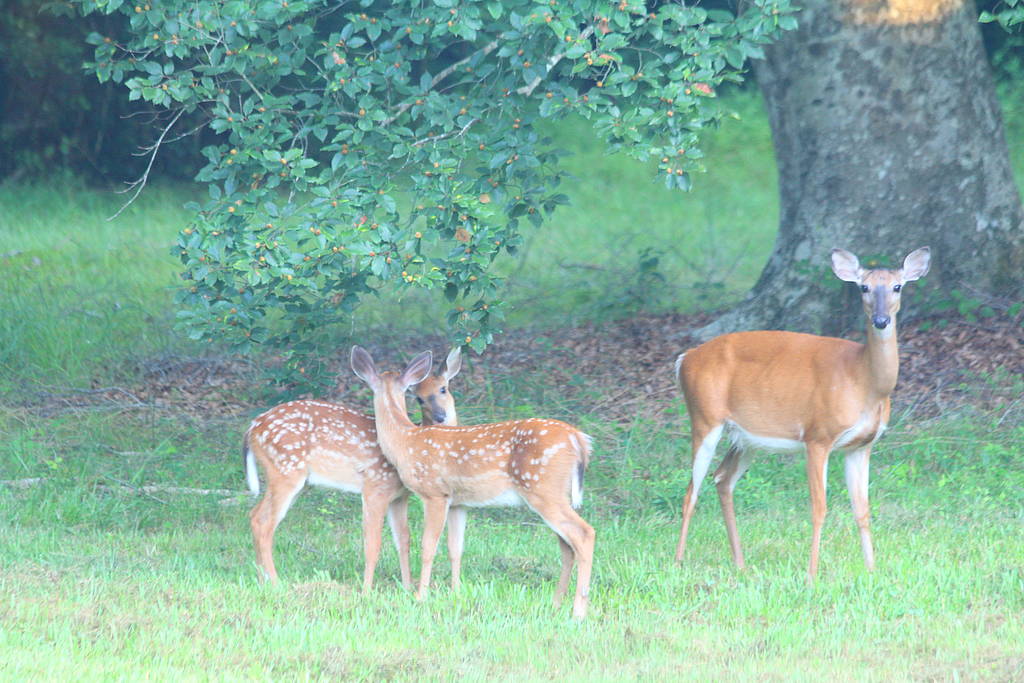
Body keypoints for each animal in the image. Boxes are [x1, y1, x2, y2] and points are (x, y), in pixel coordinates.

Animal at [243, 350, 460, 589]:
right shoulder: (375, 486)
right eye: (419, 398)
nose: (440, 416)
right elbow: (373, 542)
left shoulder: (399, 496)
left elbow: (403, 539)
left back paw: (261, 579)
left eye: (444, 389)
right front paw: (367, 589)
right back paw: (275, 582)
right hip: (285, 469)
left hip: (293, 478)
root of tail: (252, 428)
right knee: (262, 521)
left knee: (255, 515)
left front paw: (407, 586)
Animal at [352, 348, 598, 618]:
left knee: (584, 533)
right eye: (418, 398)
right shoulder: (458, 502)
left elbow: (428, 546)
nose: (440, 416)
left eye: (443, 389)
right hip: (557, 493)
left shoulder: (435, 493)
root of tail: (579, 439)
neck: (405, 440)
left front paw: (420, 596)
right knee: (567, 544)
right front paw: (454, 593)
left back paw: (578, 611)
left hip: (543, 489)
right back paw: (556, 603)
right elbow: (455, 547)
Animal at [675, 245, 933, 577]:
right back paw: (679, 561)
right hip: (704, 418)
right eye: (863, 287)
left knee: (722, 479)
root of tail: (684, 358)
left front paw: (871, 570)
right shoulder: (817, 436)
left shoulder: (862, 445)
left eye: (897, 286)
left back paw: (740, 563)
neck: (864, 381)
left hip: (745, 438)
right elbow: (819, 508)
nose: (880, 320)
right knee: (690, 491)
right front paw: (812, 573)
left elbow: (862, 510)